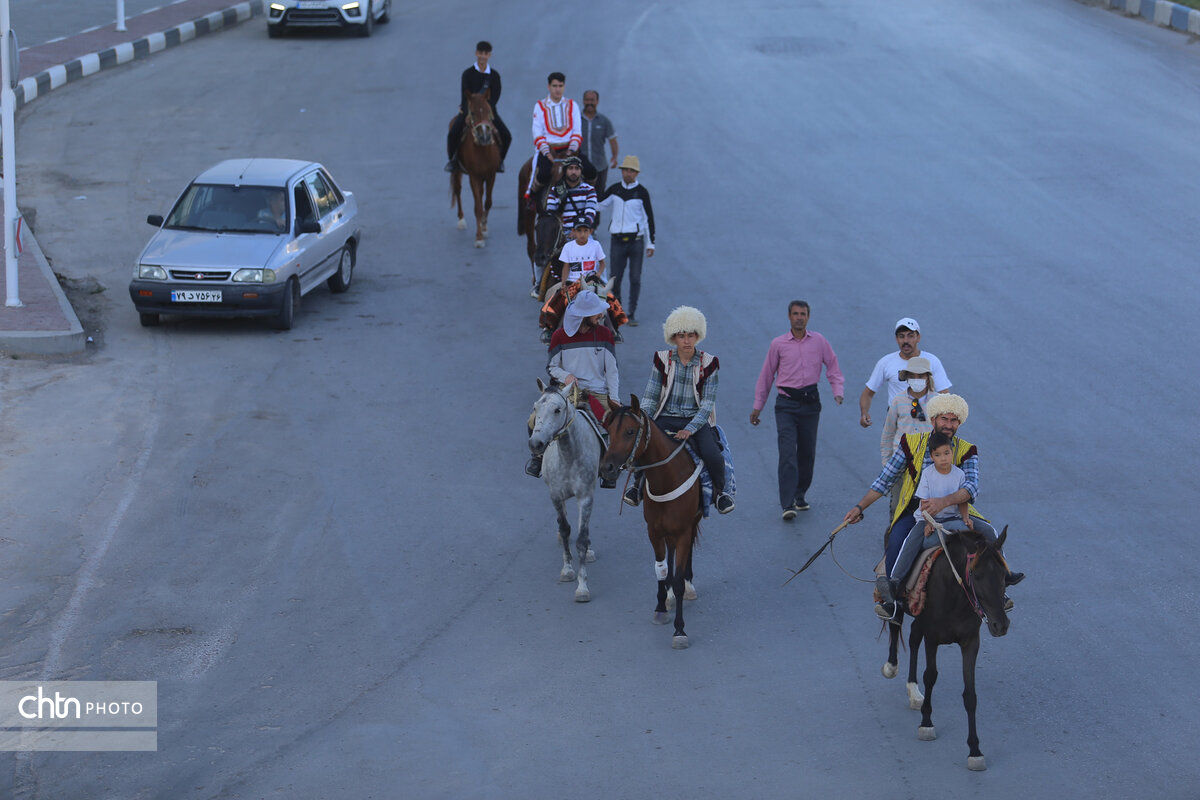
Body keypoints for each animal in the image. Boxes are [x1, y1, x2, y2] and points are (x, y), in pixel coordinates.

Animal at [453, 89, 501, 248]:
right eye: (472, 112)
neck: (482, 149)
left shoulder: (491, 174)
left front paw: (484, 227)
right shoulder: (474, 176)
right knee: (457, 190)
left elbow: (487, 202)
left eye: (488, 110)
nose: (484, 136)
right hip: (457, 171)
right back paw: (461, 220)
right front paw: (479, 238)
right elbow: (478, 207)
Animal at [528, 381, 600, 599]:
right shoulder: (555, 496)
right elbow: (565, 529)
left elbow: (581, 538)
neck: (568, 455)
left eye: (557, 410)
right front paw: (567, 569)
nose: (535, 443)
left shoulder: (585, 496)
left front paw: (582, 587)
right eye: (535, 407)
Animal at [600, 395, 700, 652]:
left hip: (691, 522)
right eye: (609, 431)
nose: (607, 468)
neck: (667, 477)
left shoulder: (683, 530)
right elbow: (661, 570)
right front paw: (661, 607)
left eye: (629, 431)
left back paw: (688, 585)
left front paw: (679, 629)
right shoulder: (654, 531)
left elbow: (677, 578)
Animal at [883, 525, 1012, 767]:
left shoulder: (971, 641)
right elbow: (930, 676)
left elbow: (970, 694)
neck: (956, 596)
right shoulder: (932, 636)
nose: (1000, 625)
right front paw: (926, 723)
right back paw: (891, 666)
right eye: (977, 576)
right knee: (896, 622)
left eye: (1003, 576)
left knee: (913, 636)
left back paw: (913, 691)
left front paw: (975, 750)